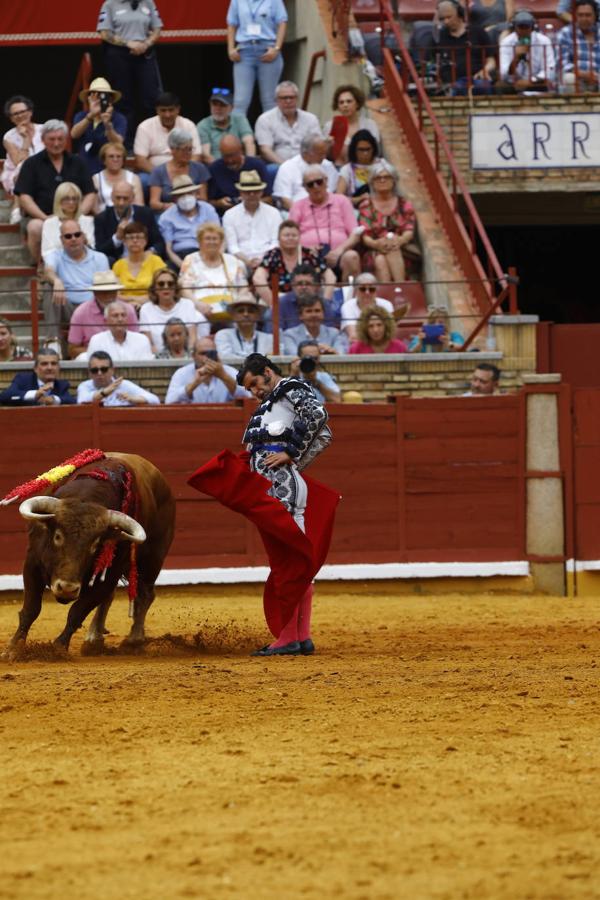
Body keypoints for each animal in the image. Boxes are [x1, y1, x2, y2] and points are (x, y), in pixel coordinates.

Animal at [7, 450, 176, 652]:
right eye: (57, 536)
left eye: (95, 545)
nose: (67, 589)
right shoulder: (32, 563)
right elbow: (31, 608)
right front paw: (14, 647)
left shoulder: (109, 575)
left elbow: (77, 612)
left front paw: (59, 647)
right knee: (110, 598)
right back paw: (94, 637)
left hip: (153, 560)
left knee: (144, 594)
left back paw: (134, 639)